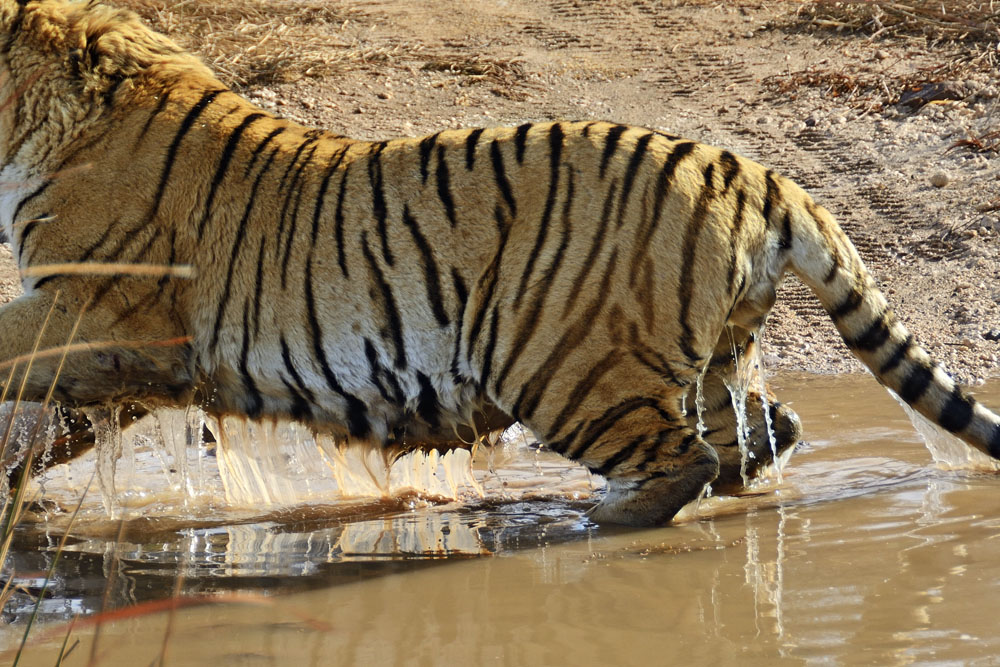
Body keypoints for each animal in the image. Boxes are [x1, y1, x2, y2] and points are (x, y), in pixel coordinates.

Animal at [0, 0, 997, 526]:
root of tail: (753, 171)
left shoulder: (93, 309)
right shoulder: (131, 353)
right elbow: (44, 421)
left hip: (559, 360)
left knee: (683, 461)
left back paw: (591, 523)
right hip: (714, 353)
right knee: (762, 431)